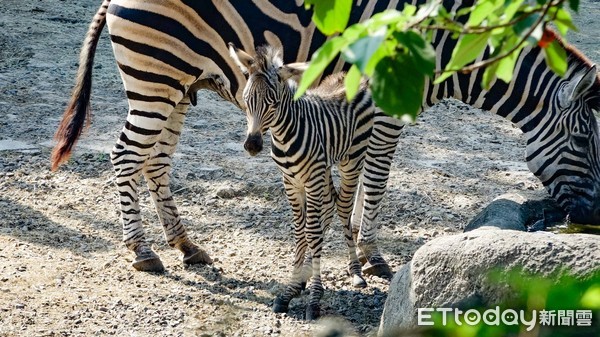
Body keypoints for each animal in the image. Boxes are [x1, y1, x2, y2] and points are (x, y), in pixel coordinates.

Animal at [50, 0, 600, 272]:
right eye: (583, 142)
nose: (591, 217)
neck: (447, 45)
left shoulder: (360, 110)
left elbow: (353, 183)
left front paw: (352, 242)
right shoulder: (386, 108)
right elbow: (375, 181)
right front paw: (370, 254)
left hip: (176, 86)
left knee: (156, 161)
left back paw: (186, 245)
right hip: (156, 77)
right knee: (125, 155)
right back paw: (143, 252)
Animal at [230, 43, 376, 318]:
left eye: (274, 103)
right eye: (246, 100)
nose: (252, 145)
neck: (284, 136)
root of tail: (350, 75)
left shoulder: (311, 180)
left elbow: (312, 233)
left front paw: (314, 297)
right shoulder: (290, 182)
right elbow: (300, 232)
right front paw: (291, 288)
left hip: (351, 159)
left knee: (342, 207)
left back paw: (355, 271)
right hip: (324, 169)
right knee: (329, 206)